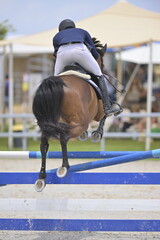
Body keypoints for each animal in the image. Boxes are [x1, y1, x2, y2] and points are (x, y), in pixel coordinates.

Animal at [32, 38, 107, 191]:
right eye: (101, 61)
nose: (103, 69)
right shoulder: (98, 112)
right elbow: (105, 115)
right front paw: (96, 134)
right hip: (77, 123)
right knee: (64, 138)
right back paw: (64, 167)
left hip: (47, 126)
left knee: (44, 145)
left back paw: (41, 178)